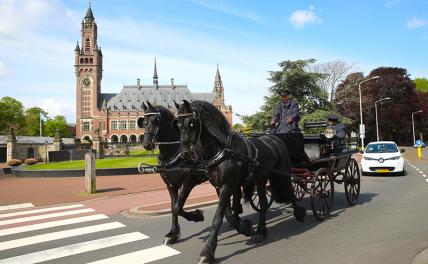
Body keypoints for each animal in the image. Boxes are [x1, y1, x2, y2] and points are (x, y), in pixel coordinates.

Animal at [139, 101, 251, 245]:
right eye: (144, 121)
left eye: (156, 120)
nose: (146, 144)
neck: (175, 152)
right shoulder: (171, 185)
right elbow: (173, 207)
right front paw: (173, 234)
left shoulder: (188, 182)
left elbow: (178, 207)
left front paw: (197, 216)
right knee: (236, 194)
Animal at [175, 100, 308, 262]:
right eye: (178, 124)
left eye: (192, 123)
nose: (185, 154)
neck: (223, 150)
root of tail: (275, 139)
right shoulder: (220, 186)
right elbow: (227, 214)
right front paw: (245, 228)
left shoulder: (228, 185)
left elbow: (218, 218)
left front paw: (207, 252)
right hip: (261, 178)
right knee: (263, 202)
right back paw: (260, 231)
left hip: (283, 173)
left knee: (290, 190)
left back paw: (298, 214)